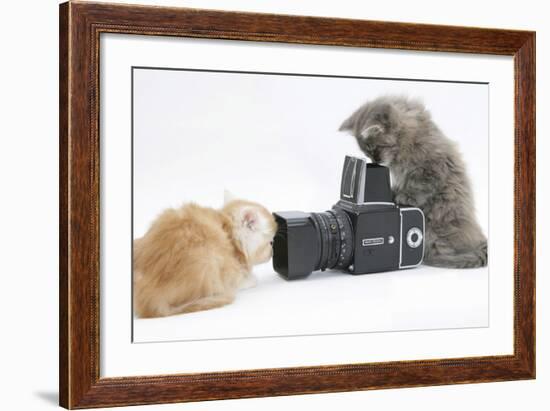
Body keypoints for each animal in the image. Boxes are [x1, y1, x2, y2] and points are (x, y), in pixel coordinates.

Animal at [133, 193, 278, 318]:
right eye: (271, 242)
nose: (272, 252)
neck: (231, 235)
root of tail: (149, 300)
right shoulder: (231, 271)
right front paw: (251, 279)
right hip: (208, 263)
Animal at [340, 96, 488, 270]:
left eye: (374, 148)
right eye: (366, 153)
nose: (374, 161)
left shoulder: (432, 169)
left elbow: (419, 185)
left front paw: (404, 197)